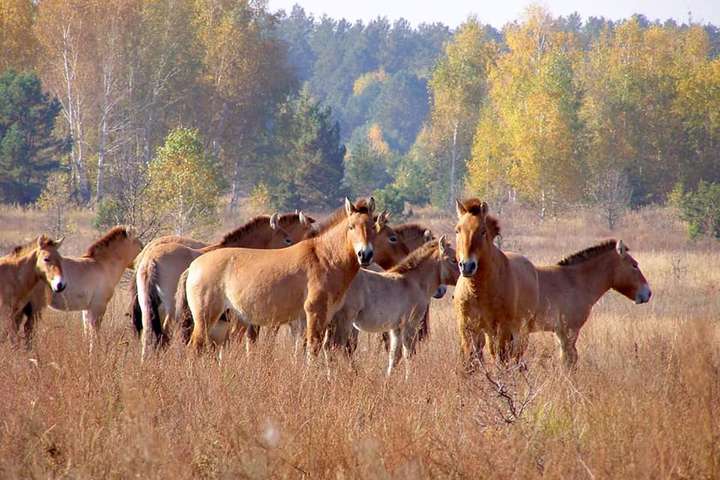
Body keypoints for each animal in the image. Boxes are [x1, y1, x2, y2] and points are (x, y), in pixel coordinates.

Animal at [179, 197, 376, 354]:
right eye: (351, 226)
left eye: (374, 227)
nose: (364, 255)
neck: (324, 257)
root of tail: (193, 266)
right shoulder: (314, 314)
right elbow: (312, 349)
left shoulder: (324, 317)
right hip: (206, 319)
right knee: (194, 347)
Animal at [330, 235, 458, 376]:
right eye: (453, 260)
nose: (464, 274)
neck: (414, 281)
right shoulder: (410, 325)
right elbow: (408, 353)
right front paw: (409, 378)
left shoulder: (396, 328)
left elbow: (394, 356)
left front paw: (388, 379)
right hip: (343, 322)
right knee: (336, 348)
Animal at [452, 199, 536, 368]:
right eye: (457, 230)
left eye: (483, 231)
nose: (467, 266)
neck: (478, 292)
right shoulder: (467, 328)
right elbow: (470, 358)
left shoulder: (501, 328)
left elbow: (500, 357)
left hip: (519, 332)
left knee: (514, 356)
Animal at [528, 240, 652, 368]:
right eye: (634, 265)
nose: (648, 293)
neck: (573, 281)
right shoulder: (570, 331)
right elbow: (569, 360)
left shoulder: (560, 332)